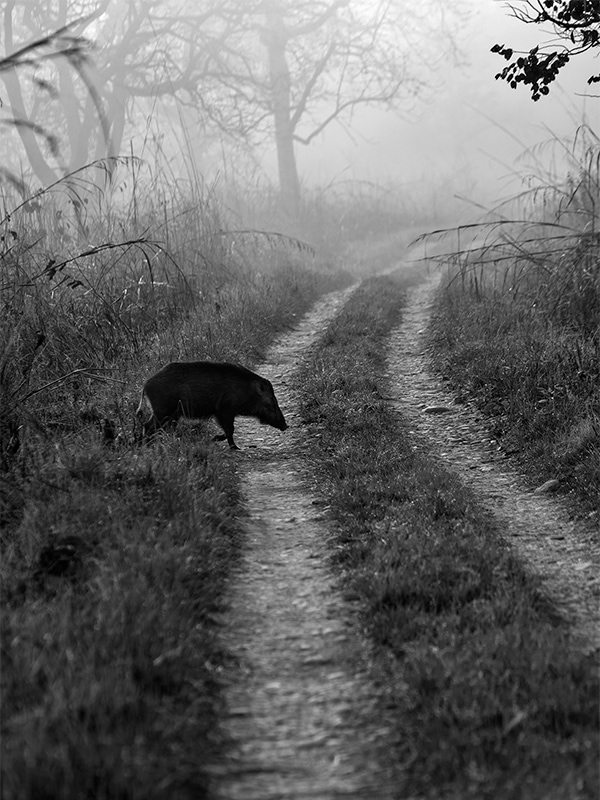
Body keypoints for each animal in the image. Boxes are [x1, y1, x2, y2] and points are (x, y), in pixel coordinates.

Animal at [136, 361, 287, 449]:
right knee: (148, 426)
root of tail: (146, 384)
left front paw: (216, 439)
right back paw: (145, 446)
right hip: (162, 410)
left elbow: (228, 430)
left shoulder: (220, 413)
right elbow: (230, 429)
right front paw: (233, 446)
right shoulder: (225, 410)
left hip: (171, 414)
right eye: (270, 402)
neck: (245, 391)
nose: (286, 426)